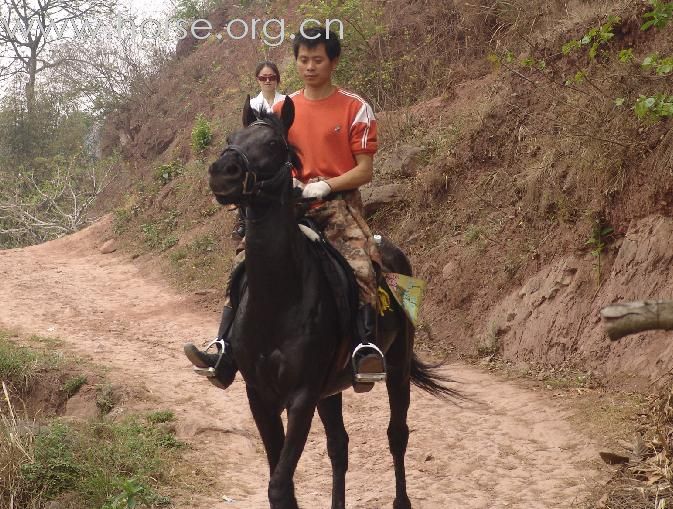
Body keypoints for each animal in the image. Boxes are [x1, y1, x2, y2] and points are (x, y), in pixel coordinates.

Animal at [207, 96, 454, 508]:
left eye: (273, 144)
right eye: (231, 139)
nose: (222, 173)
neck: (277, 301)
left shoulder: (302, 397)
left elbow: (280, 485)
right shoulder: (259, 395)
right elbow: (283, 482)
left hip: (397, 369)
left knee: (397, 434)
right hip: (331, 391)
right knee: (340, 446)